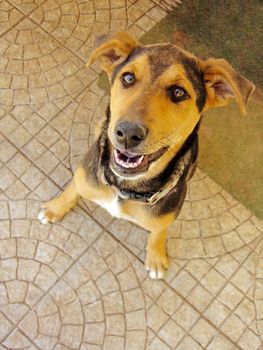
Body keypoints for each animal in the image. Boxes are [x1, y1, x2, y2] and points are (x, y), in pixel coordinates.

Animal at [39, 32, 256, 278]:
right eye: (127, 78)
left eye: (178, 92)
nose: (127, 133)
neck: (124, 189)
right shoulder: (84, 177)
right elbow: (72, 188)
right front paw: (55, 208)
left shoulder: (165, 217)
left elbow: (159, 231)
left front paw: (156, 256)